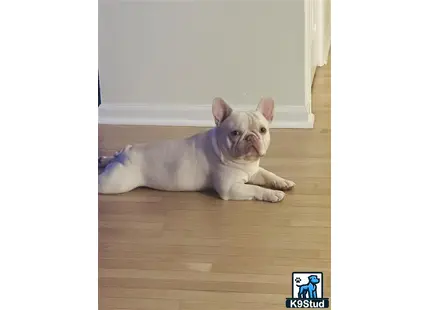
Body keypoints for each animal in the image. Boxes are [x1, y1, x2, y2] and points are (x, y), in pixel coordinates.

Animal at [98, 97, 296, 203]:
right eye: (235, 133)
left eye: (262, 130)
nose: (251, 137)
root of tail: (127, 151)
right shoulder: (231, 188)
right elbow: (255, 188)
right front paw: (272, 194)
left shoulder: (254, 170)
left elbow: (268, 174)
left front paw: (282, 182)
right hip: (117, 183)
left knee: (112, 158)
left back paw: (104, 159)